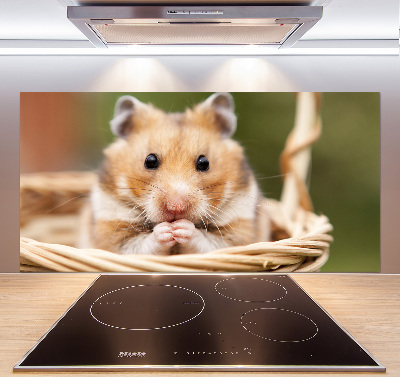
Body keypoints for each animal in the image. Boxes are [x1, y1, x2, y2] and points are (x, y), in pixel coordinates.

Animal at [84, 92, 270, 254]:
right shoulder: (111, 230)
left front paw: (181, 228)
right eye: (149, 161)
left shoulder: (238, 229)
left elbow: (209, 242)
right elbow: (139, 245)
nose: (176, 206)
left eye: (204, 163)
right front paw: (166, 230)